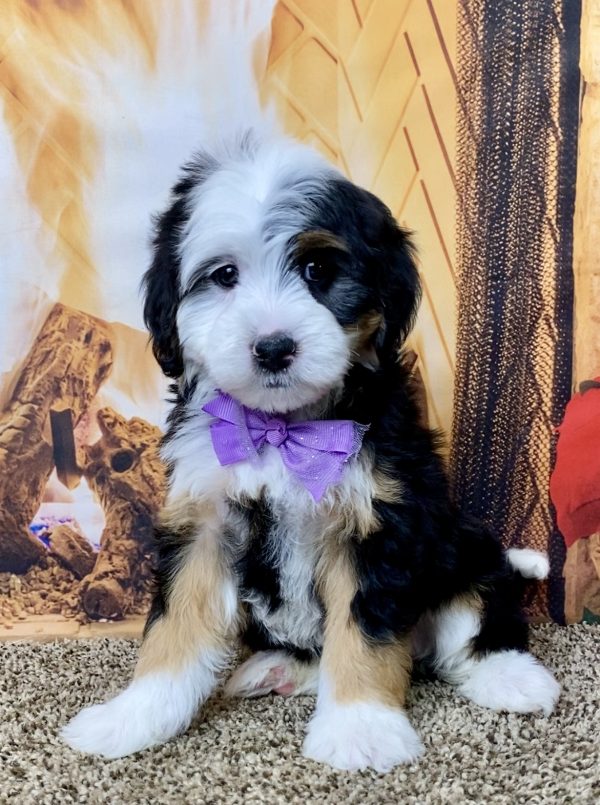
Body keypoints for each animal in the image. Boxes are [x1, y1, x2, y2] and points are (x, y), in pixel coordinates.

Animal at [63, 132, 560, 772]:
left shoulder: (378, 522)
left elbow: (365, 634)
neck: (283, 431)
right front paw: (134, 717)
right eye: (225, 275)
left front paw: (359, 729)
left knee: (471, 627)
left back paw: (511, 678)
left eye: (317, 269)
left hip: (464, 549)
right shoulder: (204, 520)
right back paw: (279, 669)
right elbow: (172, 628)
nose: (274, 347)